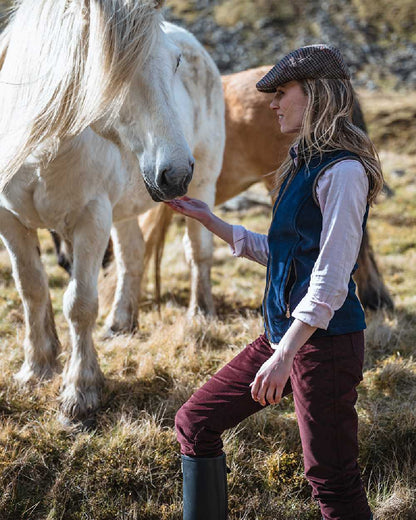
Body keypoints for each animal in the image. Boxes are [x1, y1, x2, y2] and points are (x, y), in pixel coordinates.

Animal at [0, 1, 226, 422]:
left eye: (174, 62)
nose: (175, 173)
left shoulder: (91, 218)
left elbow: (80, 303)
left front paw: (81, 391)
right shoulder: (10, 221)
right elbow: (32, 289)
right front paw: (36, 368)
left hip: (203, 186)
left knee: (199, 254)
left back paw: (201, 314)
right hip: (124, 211)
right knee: (132, 259)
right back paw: (121, 323)